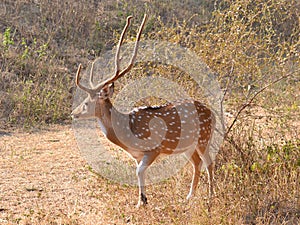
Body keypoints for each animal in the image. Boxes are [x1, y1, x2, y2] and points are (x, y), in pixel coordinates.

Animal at [72, 14, 217, 207]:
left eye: (87, 102)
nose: (74, 113)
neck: (127, 134)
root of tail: (212, 113)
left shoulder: (154, 148)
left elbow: (139, 171)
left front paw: (142, 201)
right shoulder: (137, 155)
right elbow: (139, 171)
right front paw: (141, 200)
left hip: (204, 138)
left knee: (208, 162)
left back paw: (210, 196)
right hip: (188, 144)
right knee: (197, 163)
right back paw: (189, 196)